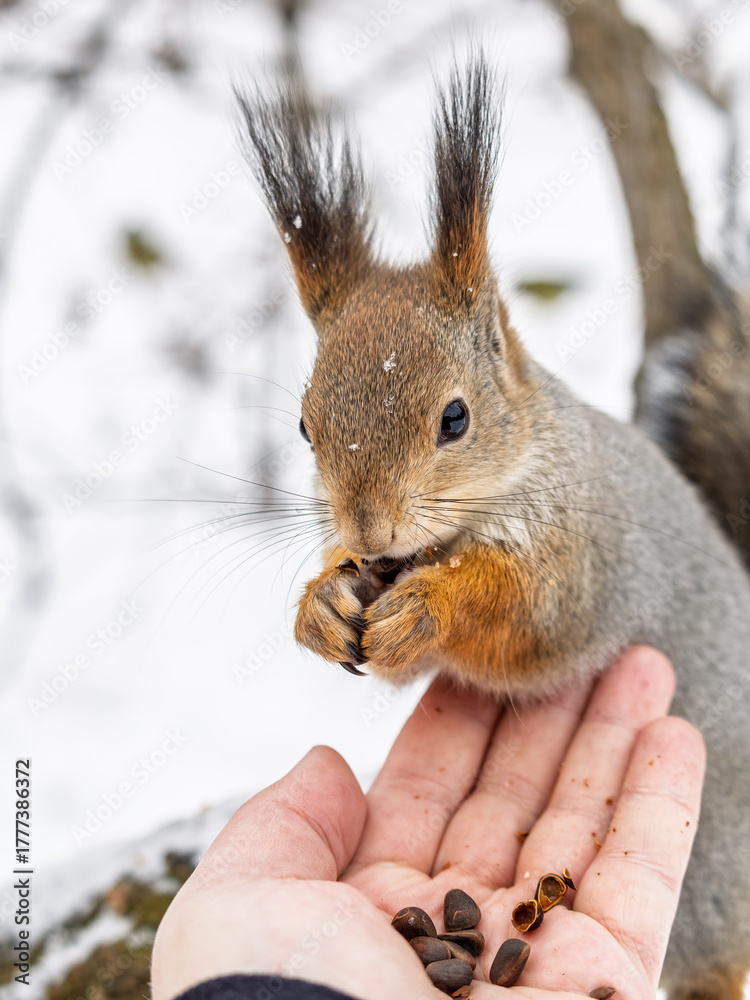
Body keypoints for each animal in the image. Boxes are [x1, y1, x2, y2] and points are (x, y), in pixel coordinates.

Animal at [236, 57, 750, 1000]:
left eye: (455, 418)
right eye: (304, 426)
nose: (369, 526)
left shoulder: (586, 560)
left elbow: (524, 616)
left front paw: (429, 607)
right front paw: (320, 605)